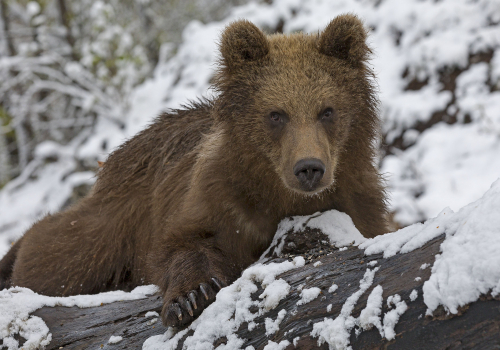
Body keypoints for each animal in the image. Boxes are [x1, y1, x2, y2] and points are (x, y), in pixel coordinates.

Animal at [0, 15, 386, 326]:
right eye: (276, 114)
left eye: (327, 110)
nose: (308, 168)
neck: (274, 193)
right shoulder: (213, 196)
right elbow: (183, 244)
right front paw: (190, 297)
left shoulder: (358, 200)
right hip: (110, 223)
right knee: (60, 256)